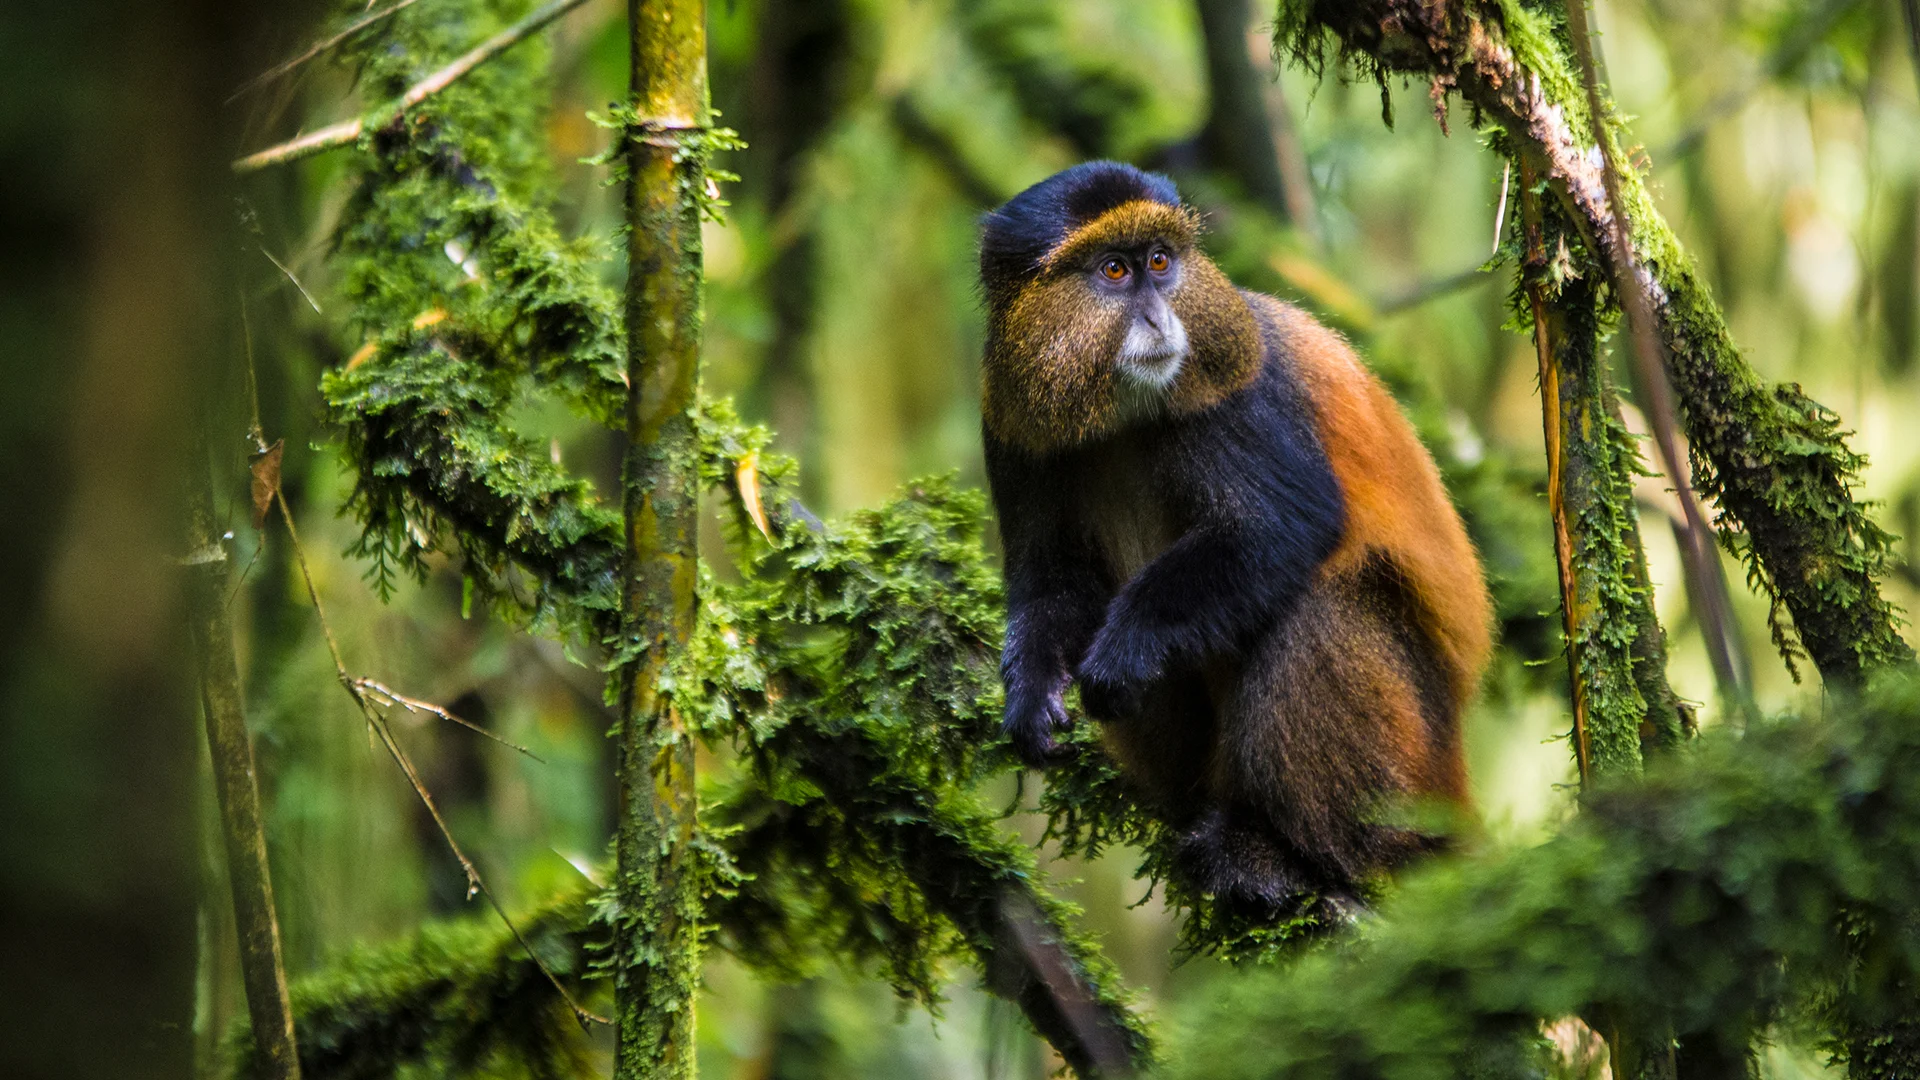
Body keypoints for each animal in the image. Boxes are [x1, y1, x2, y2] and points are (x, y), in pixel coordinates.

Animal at [979, 161, 1492, 910]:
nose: (1160, 317)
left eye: (1160, 262)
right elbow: (1053, 581)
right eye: (1113, 269)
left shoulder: (1235, 394)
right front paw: (1031, 692)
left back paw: (1292, 856)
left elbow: (1282, 527)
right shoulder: (1011, 425)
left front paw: (1126, 646)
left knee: (1318, 605)